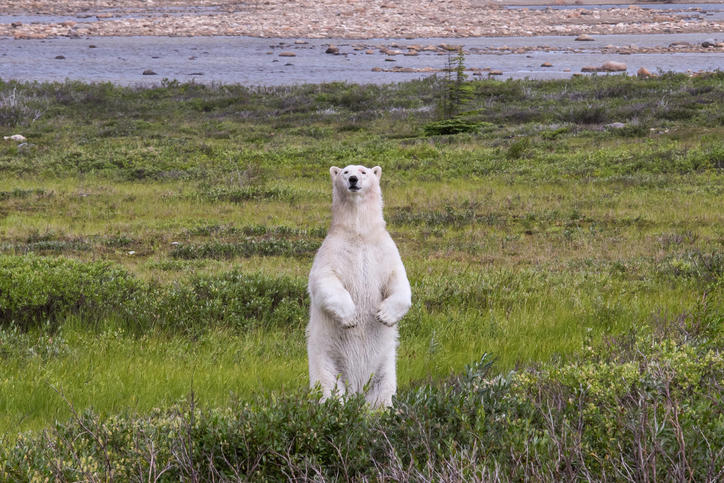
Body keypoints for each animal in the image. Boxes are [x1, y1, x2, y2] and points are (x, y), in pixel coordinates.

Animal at [306, 164, 412, 406]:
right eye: (345, 172)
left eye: (363, 171)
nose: (353, 179)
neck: (359, 234)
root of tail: (357, 389)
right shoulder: (332, 252)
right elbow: (324, 281)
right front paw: (351, 317)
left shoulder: (384, 252)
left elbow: (399, 281)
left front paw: (384, 315)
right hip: (326, 360)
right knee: (328, 388)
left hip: (386, 366)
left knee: (382, 393)